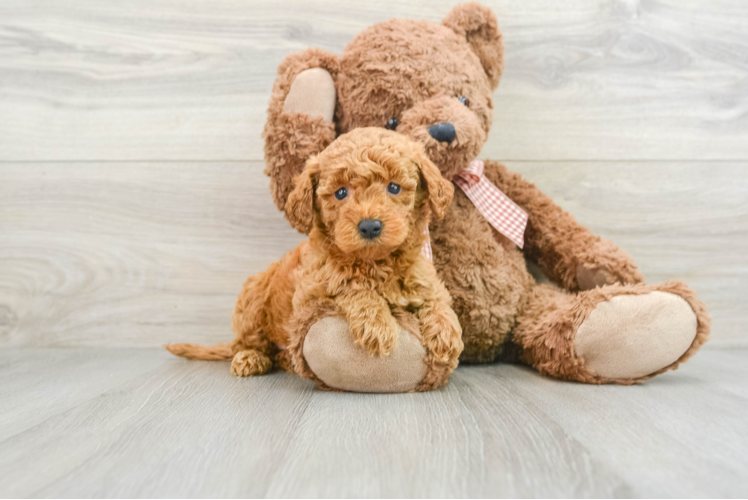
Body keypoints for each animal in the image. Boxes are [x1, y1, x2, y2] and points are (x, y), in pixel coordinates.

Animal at [167, 127, 464, 388]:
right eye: (341, 192)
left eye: (394, 187)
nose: (369, 226)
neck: (375, 262)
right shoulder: (310, 293)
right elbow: (350, 286)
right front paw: (377, 325)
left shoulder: (422, 277)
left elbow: (437, 300)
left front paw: (446, 332)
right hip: (252, 300)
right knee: (249, 342)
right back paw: (250, 358)